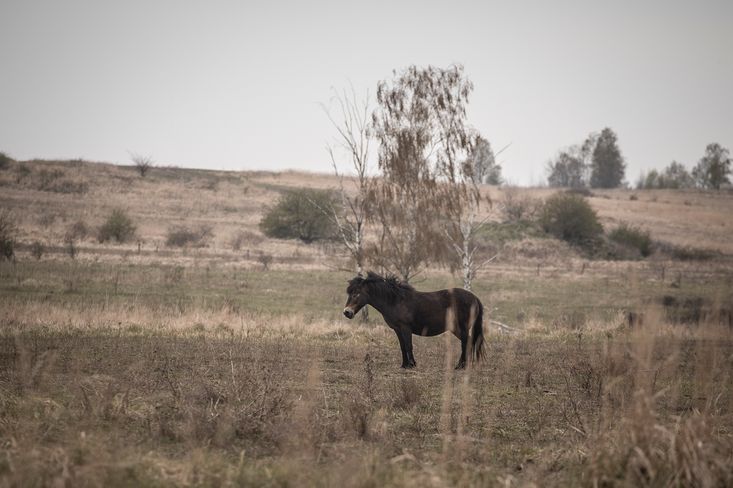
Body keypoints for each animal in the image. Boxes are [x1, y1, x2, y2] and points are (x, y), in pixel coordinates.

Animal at [342, 270, 484, 370]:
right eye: (349, 293)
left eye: (356, 294)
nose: (347, 312)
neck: (395, 301)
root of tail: (475, 298)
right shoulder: (397, 329)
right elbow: (402, 346)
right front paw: (404, 365)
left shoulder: (405, 328)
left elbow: (409, 345)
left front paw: (412, 364)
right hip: (456, 329)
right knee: (469, 341)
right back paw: (466, 365)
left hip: (462, 328)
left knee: (466, 343)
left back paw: (460, 366)